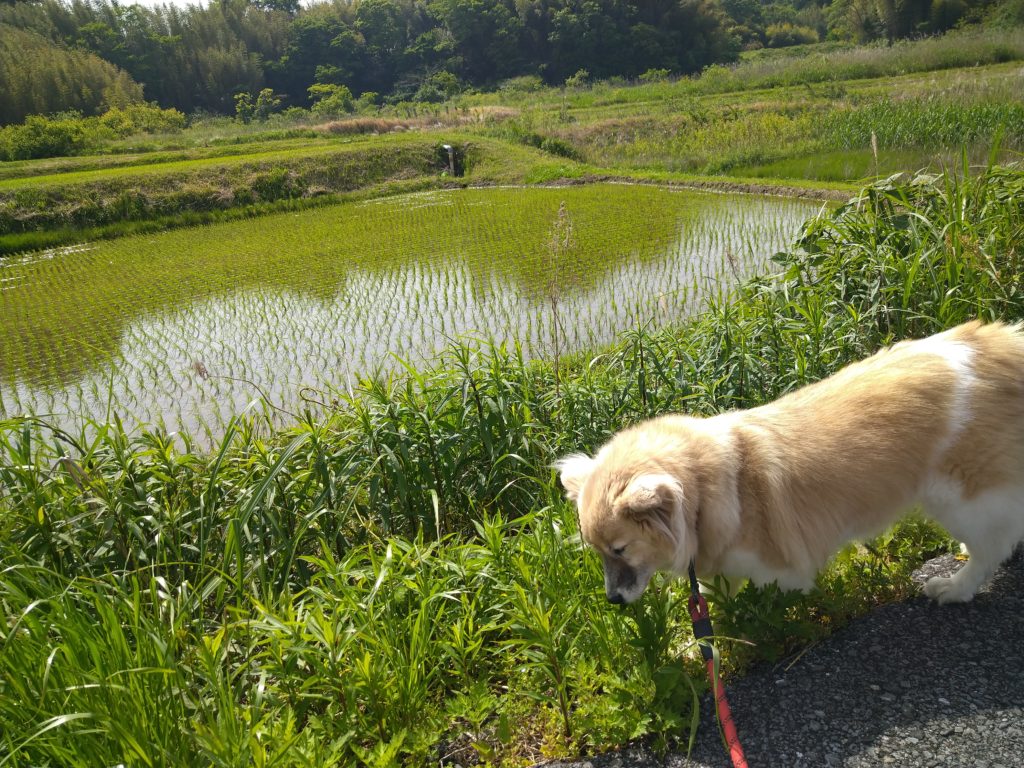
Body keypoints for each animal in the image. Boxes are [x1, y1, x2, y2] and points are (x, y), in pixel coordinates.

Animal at [557, 319, 1024, 606]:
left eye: (620, 549)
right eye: (596, 551)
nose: (613, 601)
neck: (707, 496)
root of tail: (1001, 345)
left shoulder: (779, 571)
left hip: (958, 498)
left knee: (991, 549)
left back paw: (955, 587)